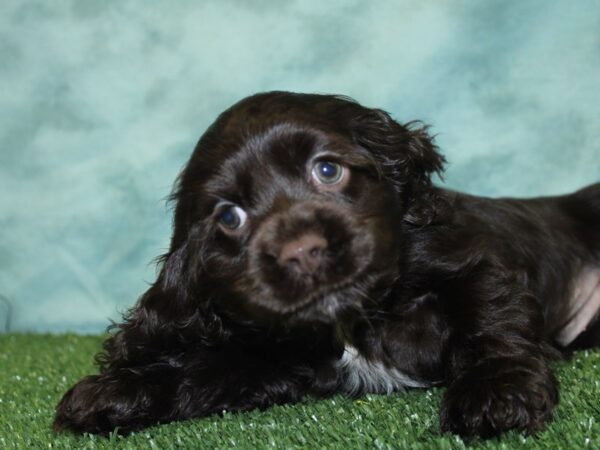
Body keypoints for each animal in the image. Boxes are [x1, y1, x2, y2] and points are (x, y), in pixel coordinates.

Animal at [54, 92, 596, 440]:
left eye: (328, 169)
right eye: (230, 217)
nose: (301, 250)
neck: (348, 321)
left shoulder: (470, 259)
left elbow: (490, 317)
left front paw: (497, 393)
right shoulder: (272, 356)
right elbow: (204, 367)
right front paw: (115, 393)